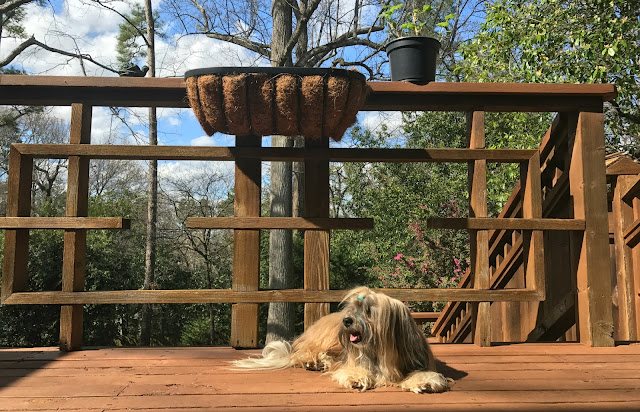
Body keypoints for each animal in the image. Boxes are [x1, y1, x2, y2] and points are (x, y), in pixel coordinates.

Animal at [234, 286, 450, 392]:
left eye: (368, 311)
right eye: (352, 308)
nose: (346, 320)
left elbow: (423, 373)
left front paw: (425, 381)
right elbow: (352, 369)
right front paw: (356, 378)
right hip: (323, 340)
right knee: (302, 354)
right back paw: (314, 362)